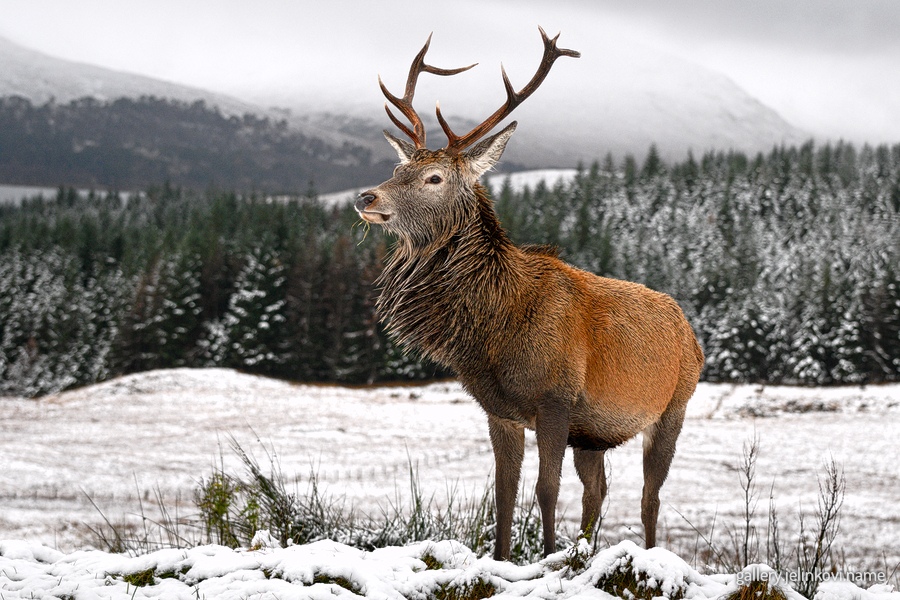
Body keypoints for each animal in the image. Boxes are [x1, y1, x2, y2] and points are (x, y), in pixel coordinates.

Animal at [355, 27, 704, 561]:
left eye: (435, 177)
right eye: (398, 170)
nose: (366, 197)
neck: (495, 329)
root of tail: (689, 329)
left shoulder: (556, 398)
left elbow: (546, 488)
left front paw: (546, 556)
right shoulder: (499, 409)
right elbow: (503, 491)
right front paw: (503, 558)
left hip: (673, 406)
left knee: (650, 495)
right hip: (594, 434)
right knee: (598, 490)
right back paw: (584, 549)